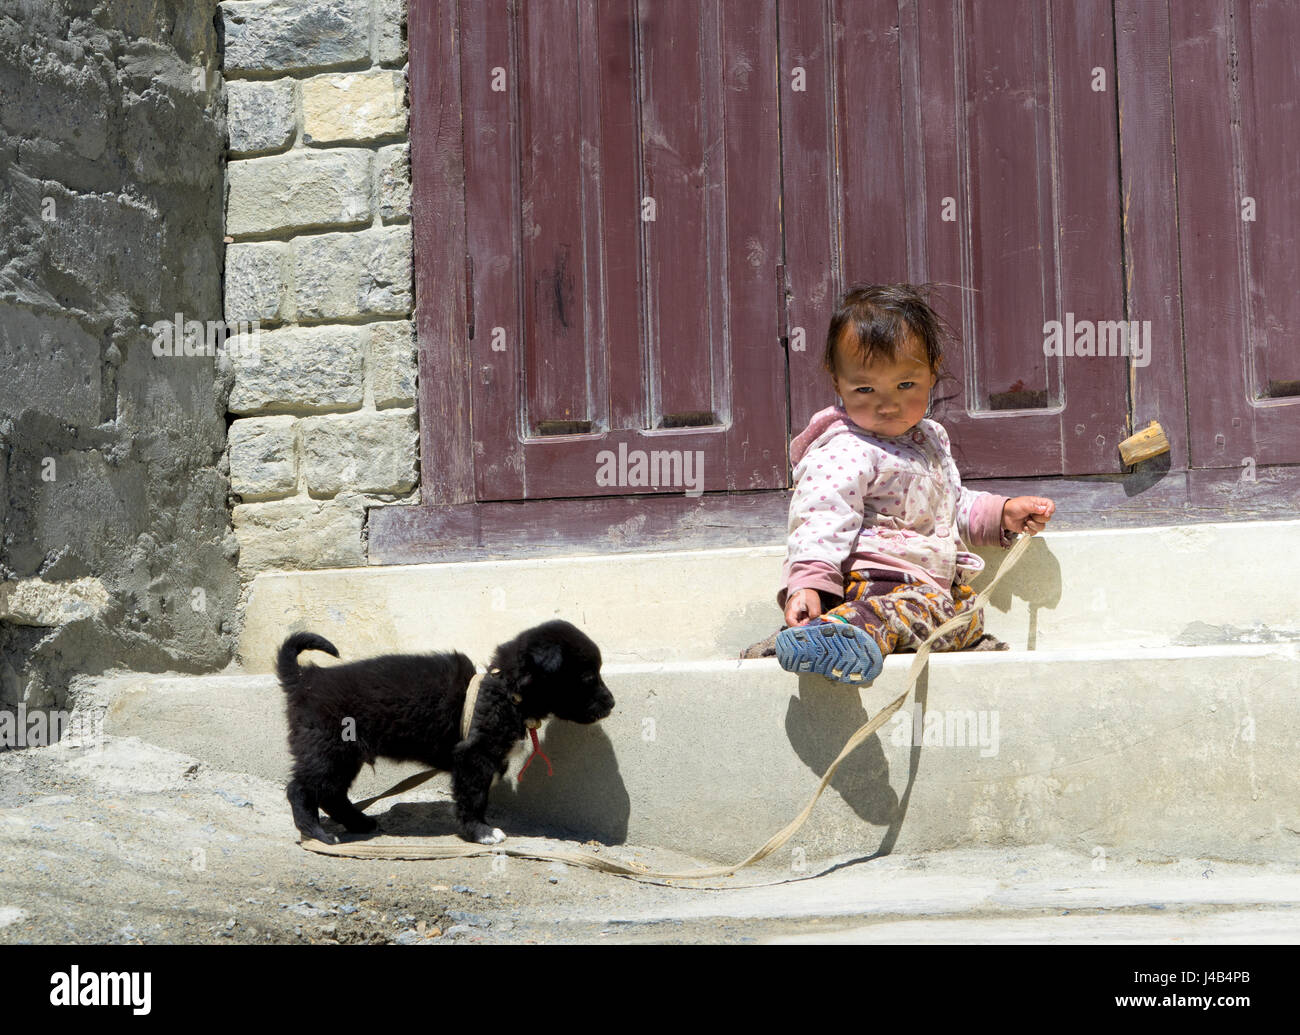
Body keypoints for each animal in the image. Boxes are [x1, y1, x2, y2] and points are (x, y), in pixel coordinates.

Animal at [273, 618, 613, 842]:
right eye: (588, 678)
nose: (611, 703)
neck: (505, 691)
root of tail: (303, 679)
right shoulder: (473, 757)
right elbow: (473, 797)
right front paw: (481, 832)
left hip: (346, 755)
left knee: (331, 793)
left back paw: (359, 823)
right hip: (328, 748)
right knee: (301, 788)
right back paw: (316, 832)